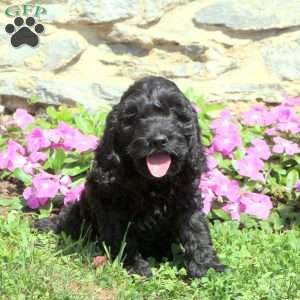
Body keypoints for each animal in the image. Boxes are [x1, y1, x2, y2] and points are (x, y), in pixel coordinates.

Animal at [35, 76, 224, 278]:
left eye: (175, 113)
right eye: (133, 117)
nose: (158, 140)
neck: (153, 182)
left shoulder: (188, 198)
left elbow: (197, 231)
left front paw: (207, 265)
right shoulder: (109, 203)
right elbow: (120, 237)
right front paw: (134, 265)